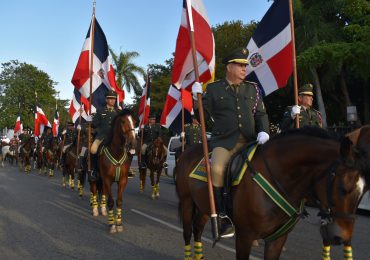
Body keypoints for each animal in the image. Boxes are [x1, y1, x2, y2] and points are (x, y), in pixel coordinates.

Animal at [176, 128, 368, 260]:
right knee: (187, 232)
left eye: (364, 191)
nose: (341, 237)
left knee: (198, 228)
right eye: (343, 186)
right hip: (186, 201)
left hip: (205, 206)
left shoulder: (278, 239)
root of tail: (188, 150)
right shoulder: (245, 237)